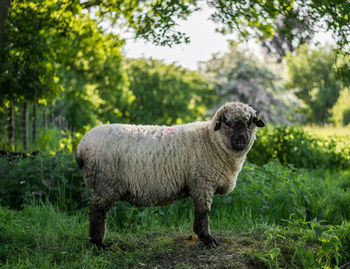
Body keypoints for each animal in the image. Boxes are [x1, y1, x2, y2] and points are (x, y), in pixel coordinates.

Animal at [75, 101, 264, 248]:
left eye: (249, 122)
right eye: (227, 122)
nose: (241, 139)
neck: (211, 140)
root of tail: (81, 146)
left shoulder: (200, 185)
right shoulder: (202, 184)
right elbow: (203, 213)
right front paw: (208, 240)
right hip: (104, 185)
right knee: (97, 214)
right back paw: (98, 244)